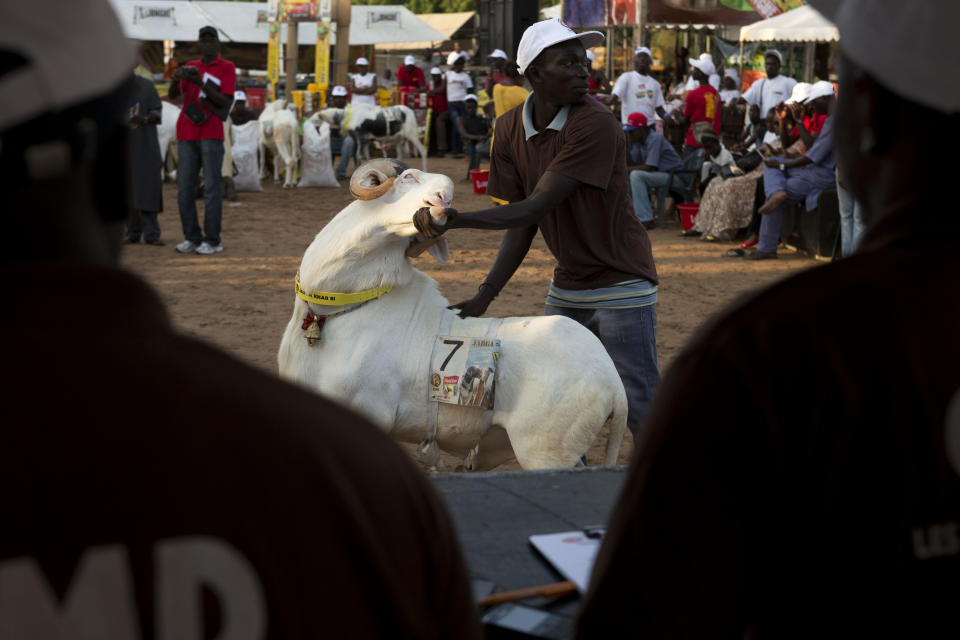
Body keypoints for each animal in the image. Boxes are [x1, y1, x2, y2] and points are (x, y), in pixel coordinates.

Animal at [278, 160, 628, 470]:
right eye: (407, 177)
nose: (442, 203)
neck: (329, 312)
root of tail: (614, 383)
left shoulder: (368, 414)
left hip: (546, 454)